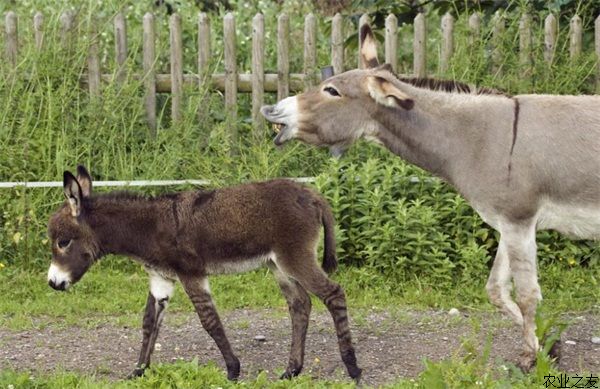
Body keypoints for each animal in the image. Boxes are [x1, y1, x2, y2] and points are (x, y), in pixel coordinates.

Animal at [47, 165, 360, 380]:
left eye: (63, 242)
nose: (52, 283)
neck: (147, 228)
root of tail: (312, 194)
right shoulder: (161, 278)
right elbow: (149, 322)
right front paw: (139, 370)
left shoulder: (191, 273)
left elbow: (210, 321)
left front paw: (233, 369)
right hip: (278, 266)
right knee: (300, 304)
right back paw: (291, 370)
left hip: (295, 258)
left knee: (334, 294)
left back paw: (352, 368)